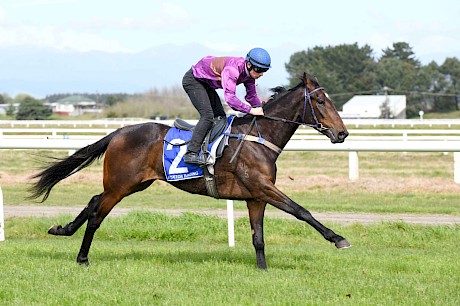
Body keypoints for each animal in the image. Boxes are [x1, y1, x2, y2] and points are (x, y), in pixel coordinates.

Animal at [28, 73, 350, 268]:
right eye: (320, 101)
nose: (342, 133)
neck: (259, 137)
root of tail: (120, 132)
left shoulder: (255, 196)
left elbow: (258, 236)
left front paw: (263, 269)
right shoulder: (263, 188)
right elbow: (301, 210)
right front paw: (338, 239)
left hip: (131, 183)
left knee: (94, 200)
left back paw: (62, 229)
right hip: (121, 185)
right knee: (97, 214)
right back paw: (82, 257)